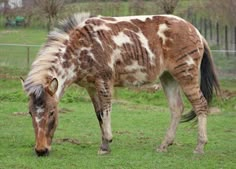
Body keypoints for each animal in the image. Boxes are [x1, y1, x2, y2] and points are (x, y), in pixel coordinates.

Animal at [21, 12, 219, 156]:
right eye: (30, 112)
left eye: (52, 112)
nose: (41, 150)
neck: (83, 47)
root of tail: (196, 30)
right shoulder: (91, 87)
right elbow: (99, 115)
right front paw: (104, 144)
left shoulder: (104, 82)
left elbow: (106, 111)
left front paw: (106, 144)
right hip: (168, 77)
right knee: (176, 108)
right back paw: (164, 145)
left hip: (186, 75)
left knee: (201, 105)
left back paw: (200, 146)